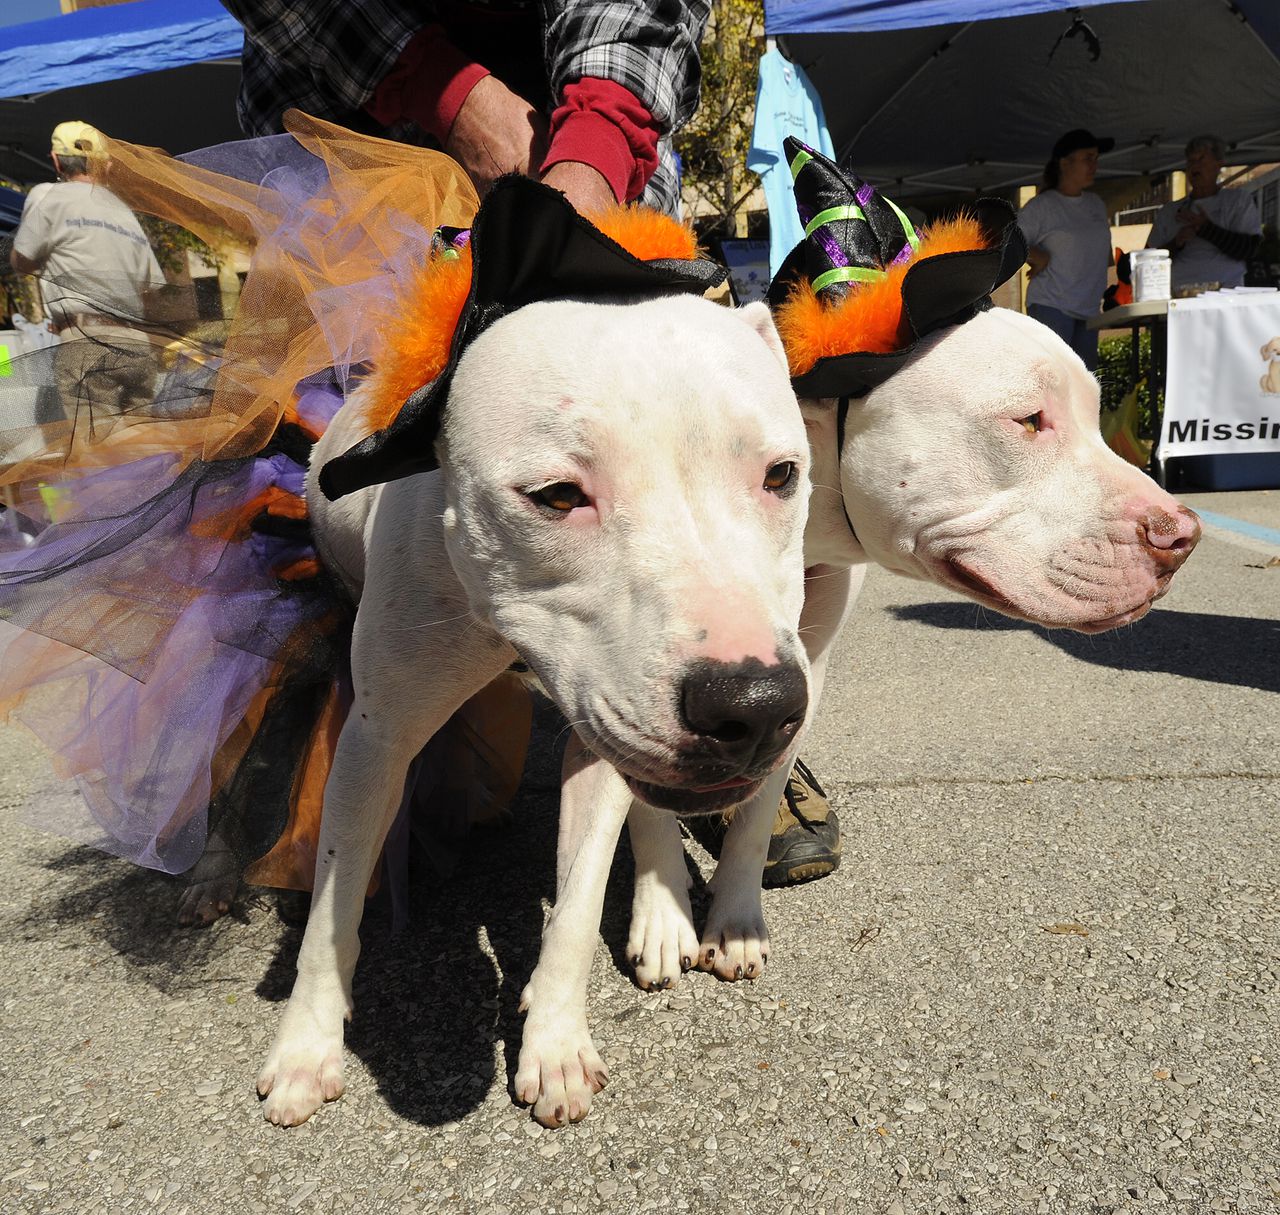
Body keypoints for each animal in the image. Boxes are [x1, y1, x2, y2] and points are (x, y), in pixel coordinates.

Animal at [512, 308, 1198, 1121]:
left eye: (1095, 415)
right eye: (1029, 420)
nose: (1183, 536)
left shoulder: (805, 659)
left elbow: (754, 808)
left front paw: (732, 922)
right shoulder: (615, 655)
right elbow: (611, 836)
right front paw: (641, 936)